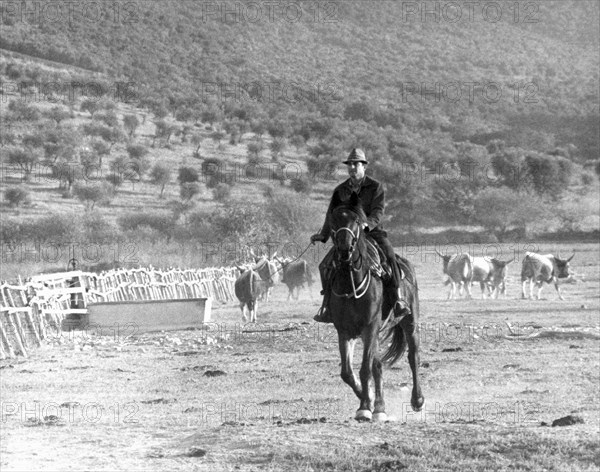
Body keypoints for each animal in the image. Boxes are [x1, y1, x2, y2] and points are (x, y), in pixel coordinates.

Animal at [328, 194, 422, 422]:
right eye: (333, 220)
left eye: (356, 220)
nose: (344, 249)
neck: (351, 283)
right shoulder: (345, 331)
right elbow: (348, 372)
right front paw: (368, 400)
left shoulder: (370, 327)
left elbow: (364, 369)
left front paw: (365, 407)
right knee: (377, 365)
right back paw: (379, 407)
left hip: (410, 323)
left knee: (413, 357)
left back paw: (417, 400)